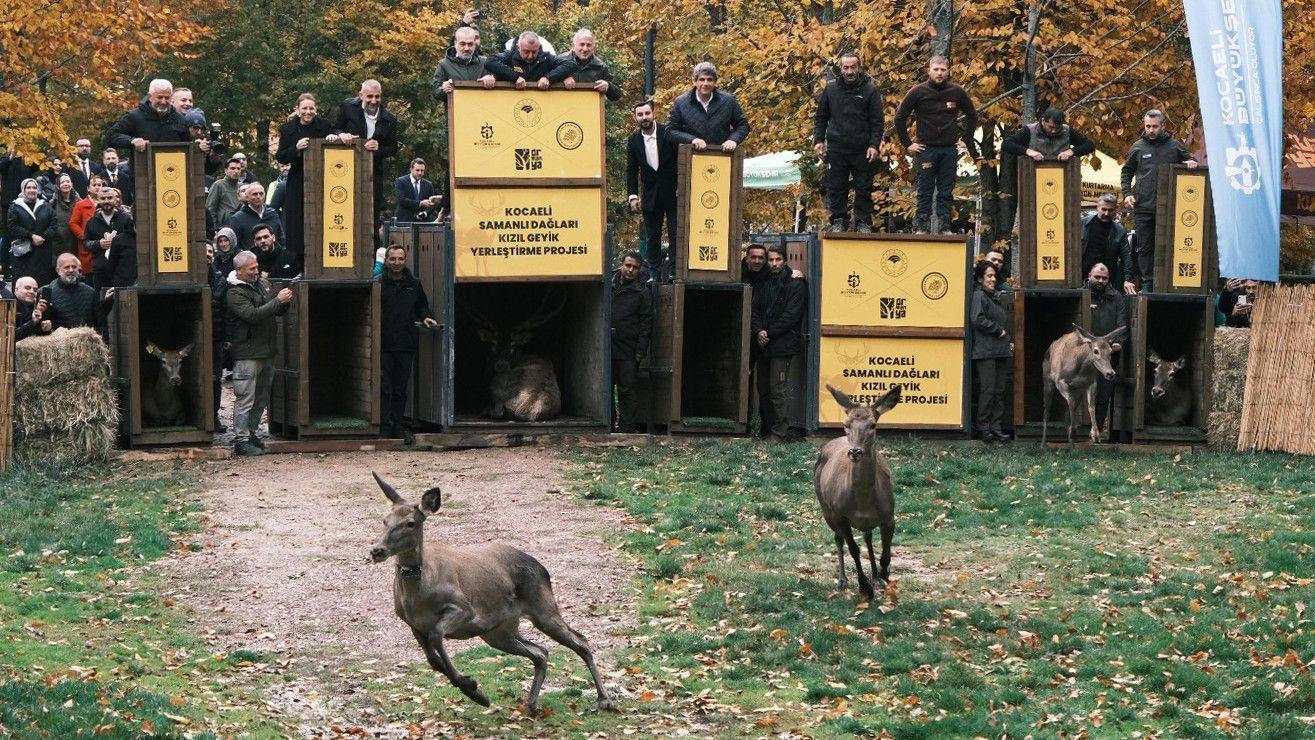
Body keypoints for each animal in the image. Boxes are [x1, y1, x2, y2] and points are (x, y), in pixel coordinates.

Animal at [368, 472, 613, 716]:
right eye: (384, 520)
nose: (377, 550)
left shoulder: (463, 609)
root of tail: (543, 569)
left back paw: (605, 700)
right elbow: (433, 660)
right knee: (540, 652)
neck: (418, 597)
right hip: (498, 631)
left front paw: (474, 690)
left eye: (410, 523)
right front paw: (475, 691)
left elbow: (437, 636)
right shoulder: (413, 624)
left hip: (543, 607)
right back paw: (531, 704)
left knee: (580, 641)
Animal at [465, 292, 565, 422]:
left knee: (498, 410)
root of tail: (528, 409)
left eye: (513, 344)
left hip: (500, 384)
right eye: (493, 343)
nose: (501, 365)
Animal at [814, 384, 902, 601]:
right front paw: (864, 588)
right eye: (846, 424)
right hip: (826, 509)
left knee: (868, 537)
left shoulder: (889, 515)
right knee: (838, 539)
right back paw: (843, 580)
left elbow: (885, 554)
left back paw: (876, 577)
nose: (855, 452)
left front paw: (884, 578)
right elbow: (853, 548)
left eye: (873, 425)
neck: (862, 502)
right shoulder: (840, 514)